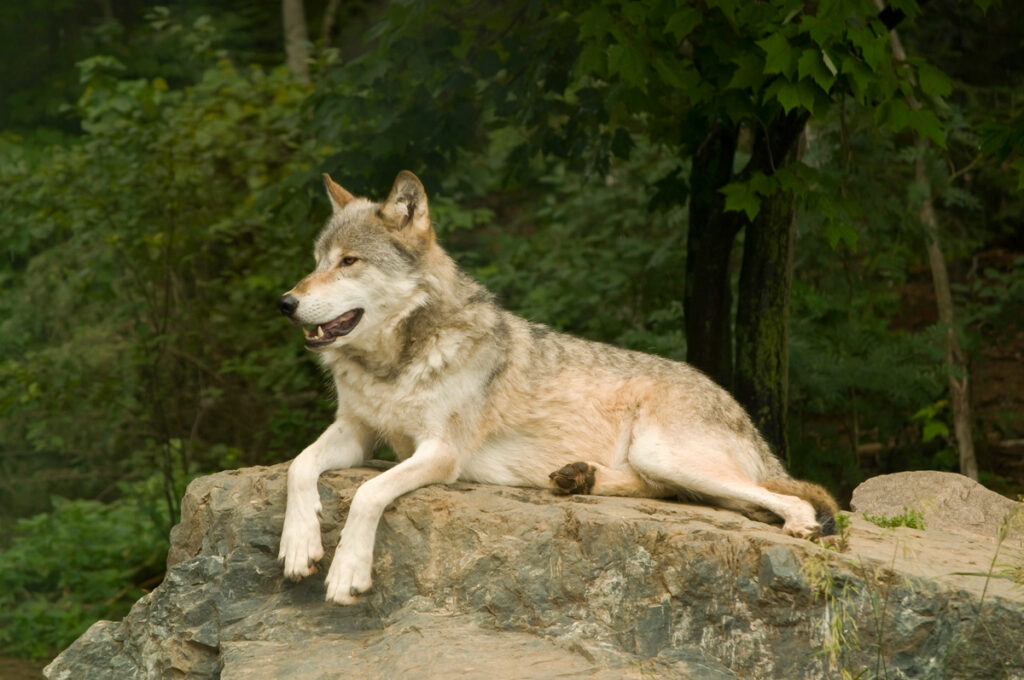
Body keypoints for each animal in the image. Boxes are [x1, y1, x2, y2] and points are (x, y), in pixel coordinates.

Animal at [276, 170, 839, 605]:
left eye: (349, 262)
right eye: (317, 260)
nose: (285, 302)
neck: (394, 364)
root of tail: (742, 412)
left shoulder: (440, 453)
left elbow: (368, 493)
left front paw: (347, 571)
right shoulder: (356, 431)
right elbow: (299, 465)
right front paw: (299, 544)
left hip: (666, 454)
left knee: (787, 500)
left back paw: (800, 527)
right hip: (659, 462)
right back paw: (578, 478)